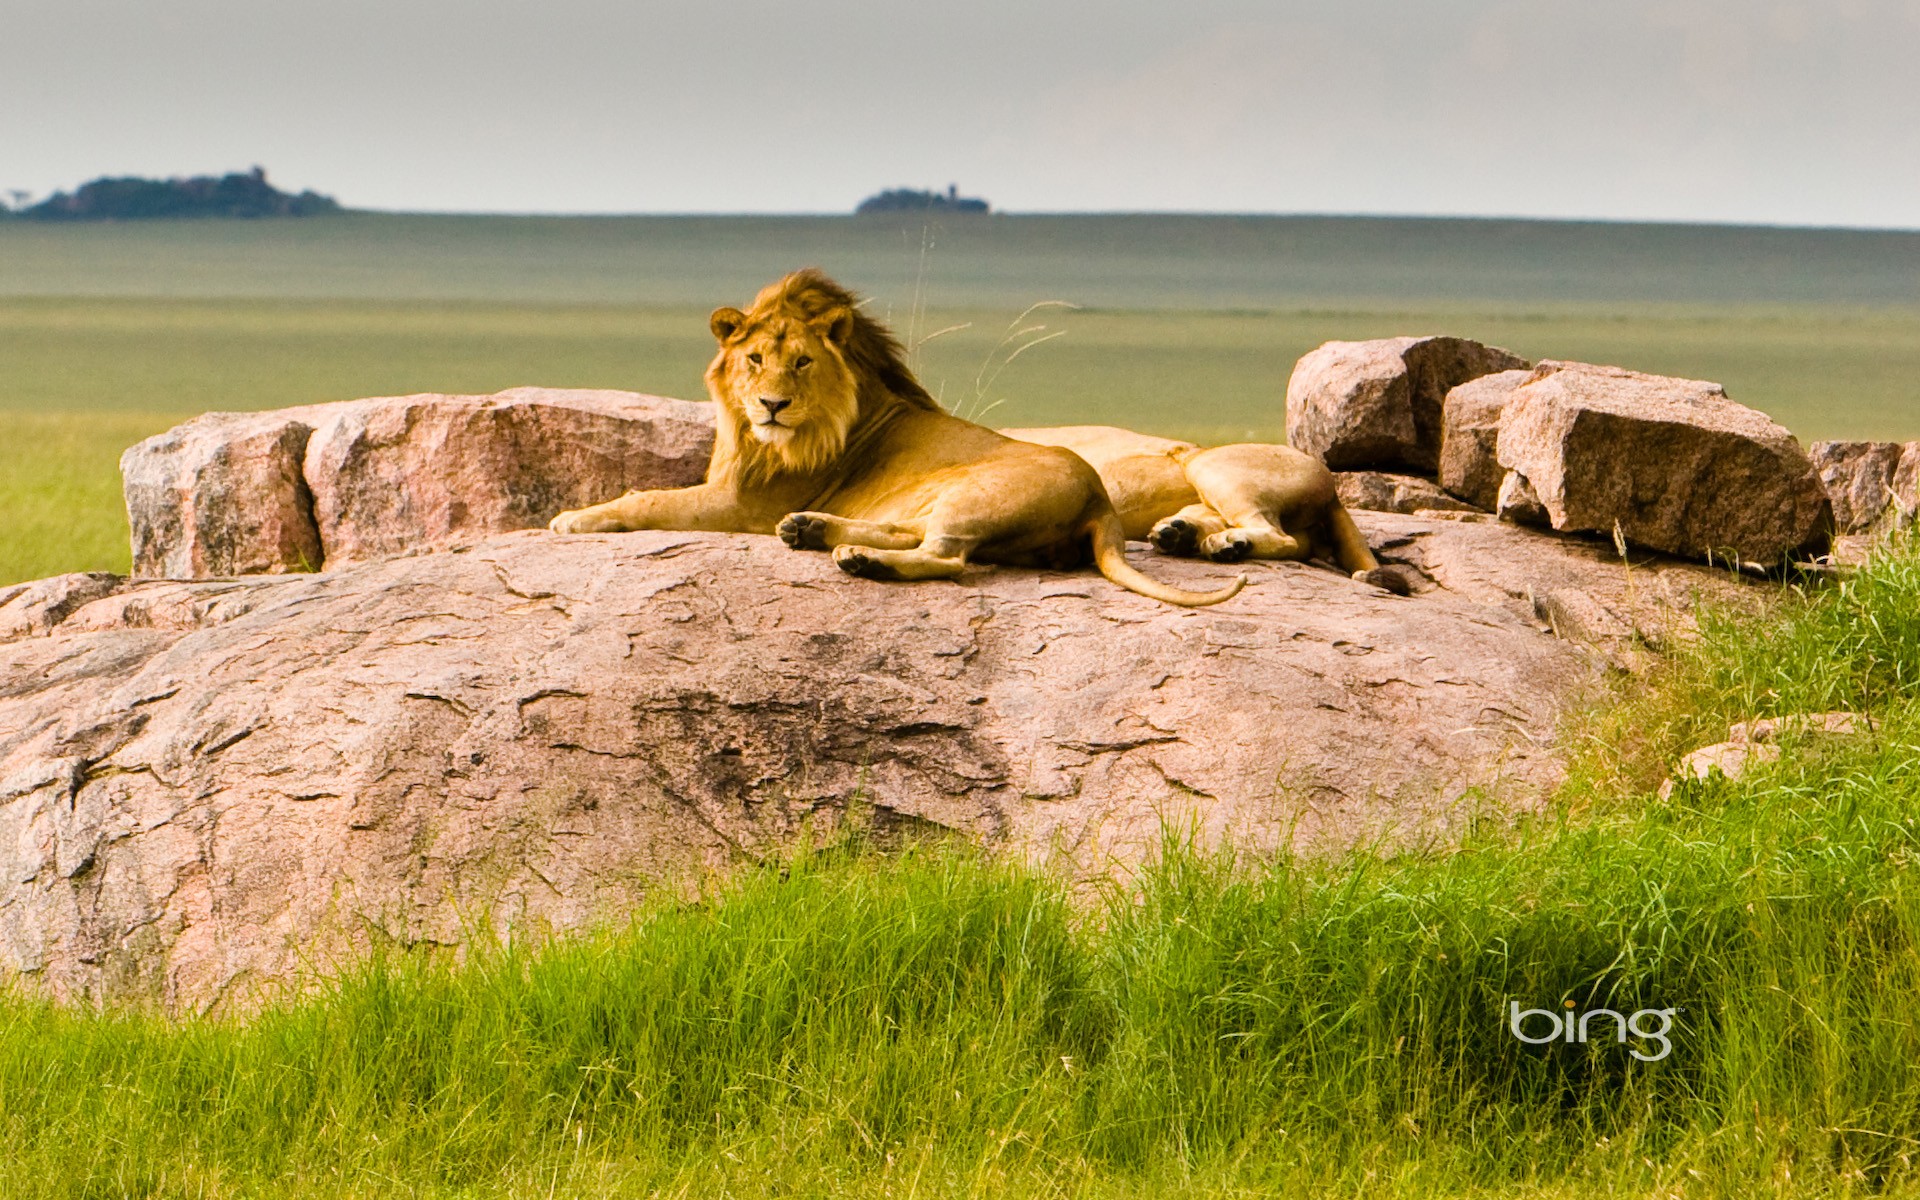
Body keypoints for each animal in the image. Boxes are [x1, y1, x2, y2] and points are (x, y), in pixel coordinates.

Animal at [548, 270, 1244, 607]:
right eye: (754, 360)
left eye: (802, 362)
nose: (773, 405)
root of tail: (1101, 502)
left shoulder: (741, 503)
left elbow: (647, 497)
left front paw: (572, 519)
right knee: (913, 533)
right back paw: (813, 531)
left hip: (975, 492)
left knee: (946, 556)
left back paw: (859, 560)